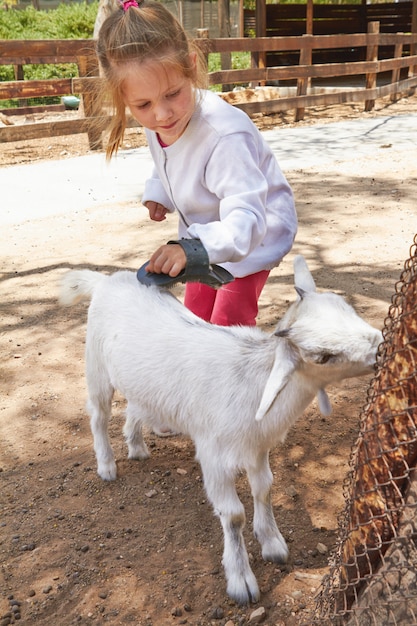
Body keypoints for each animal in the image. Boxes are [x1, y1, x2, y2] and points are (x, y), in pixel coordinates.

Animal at [60, 256, 382, 604]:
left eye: (348, 308)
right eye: (323, 356)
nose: (381, 346)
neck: (254, 380)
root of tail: (106, 280)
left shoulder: (257, 447)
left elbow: (264, 488)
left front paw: (272, 542)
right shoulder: (213, 455)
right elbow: (233, 515)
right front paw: (241, 578)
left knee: (135, 406)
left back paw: (137, 447)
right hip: (96, 368)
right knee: (98, 416)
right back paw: (107, 465)